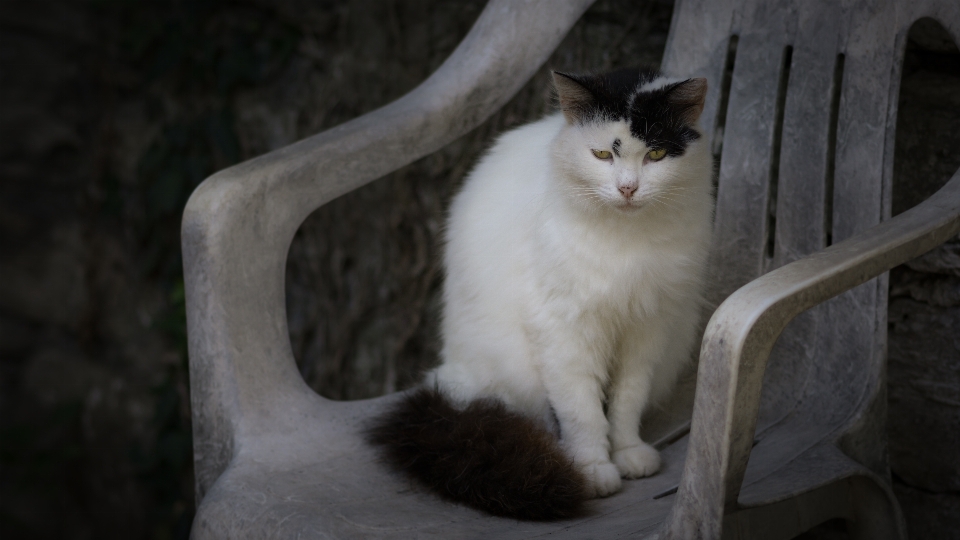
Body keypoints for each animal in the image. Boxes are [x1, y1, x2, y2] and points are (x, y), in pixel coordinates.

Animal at [368, 66, 712, 520]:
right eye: (602, 155)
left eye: (655, 155)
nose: (627, 189)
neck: (626, 245)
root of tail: (449, 376)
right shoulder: (564, 331)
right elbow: (582, 411)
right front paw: (593, 469)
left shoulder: (646, 329)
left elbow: (626, 404)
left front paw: (628, 454)